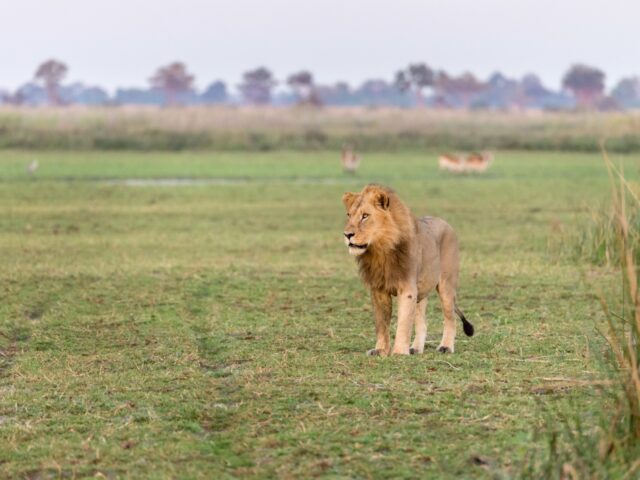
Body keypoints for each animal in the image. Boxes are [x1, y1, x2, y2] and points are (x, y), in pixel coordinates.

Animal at [340, 184, 476, 356]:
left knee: (450, 319)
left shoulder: (407, 288)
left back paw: (446, 347)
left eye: (365, 216)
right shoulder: (378, 289)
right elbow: (382, 324)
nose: (347, 234)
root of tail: (445, 222)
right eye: (349, 215)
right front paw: (380, 350)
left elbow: (403, 323)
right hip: (421, 291)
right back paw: (415, 349)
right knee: (422, 323)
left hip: (446, 286)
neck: (381, 251)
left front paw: (399, 352)